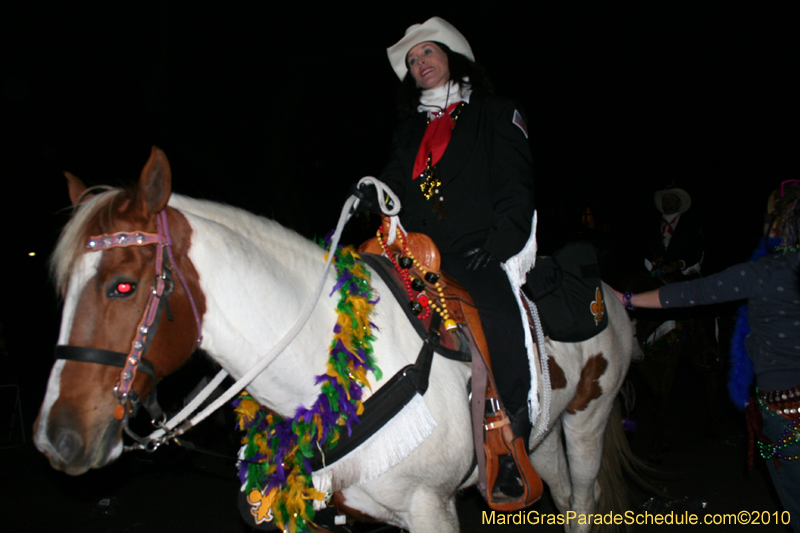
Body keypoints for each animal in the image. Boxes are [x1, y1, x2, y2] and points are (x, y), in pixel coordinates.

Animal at [34, 148, 640, 528]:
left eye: (122, 285)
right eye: (61, 289)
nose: (56, 438)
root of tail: (608, 291)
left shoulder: (431, 509)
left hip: (587, 420)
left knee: (582, 500)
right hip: (542, 433)